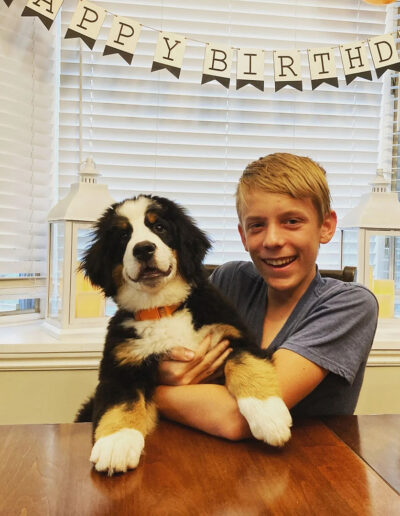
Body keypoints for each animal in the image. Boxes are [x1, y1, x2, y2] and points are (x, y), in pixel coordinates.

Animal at [76, 195, 290, 476]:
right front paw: (116, 444)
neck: (162, 309)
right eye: (123, 236)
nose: (143, 249)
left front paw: (269, 416)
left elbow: (245, 364)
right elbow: (121, 403)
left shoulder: (235, 334)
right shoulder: (121, 365)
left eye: (159, 227)